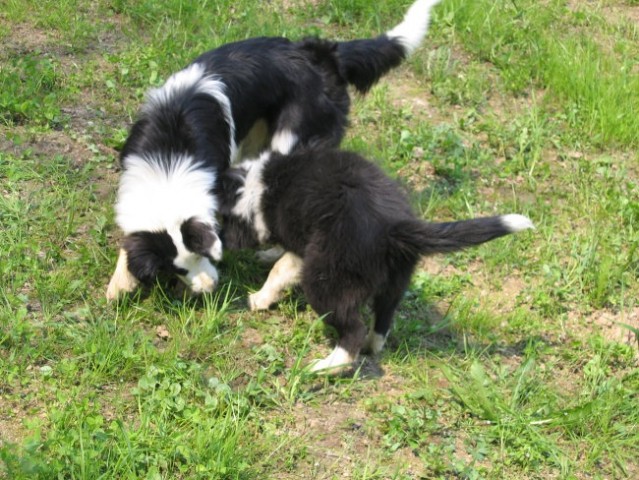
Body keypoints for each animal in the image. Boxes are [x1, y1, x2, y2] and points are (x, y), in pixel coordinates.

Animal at [107, 0, 442, 300]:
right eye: (177, 269)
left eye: (206, 256)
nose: (209, 289)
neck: (168, 157)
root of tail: (324, 55)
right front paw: (119, 282)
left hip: (291, 141)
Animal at [216, 149, 536, 372]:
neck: (254, 187)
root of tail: (394, 227)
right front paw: (267, 256)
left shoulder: (303, 246)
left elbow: (280, 270)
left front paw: (259, 299)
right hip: (396, 280)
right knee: (384, 316)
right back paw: (372, 345)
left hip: (326, 279)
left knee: (352, 328)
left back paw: (326, 366)